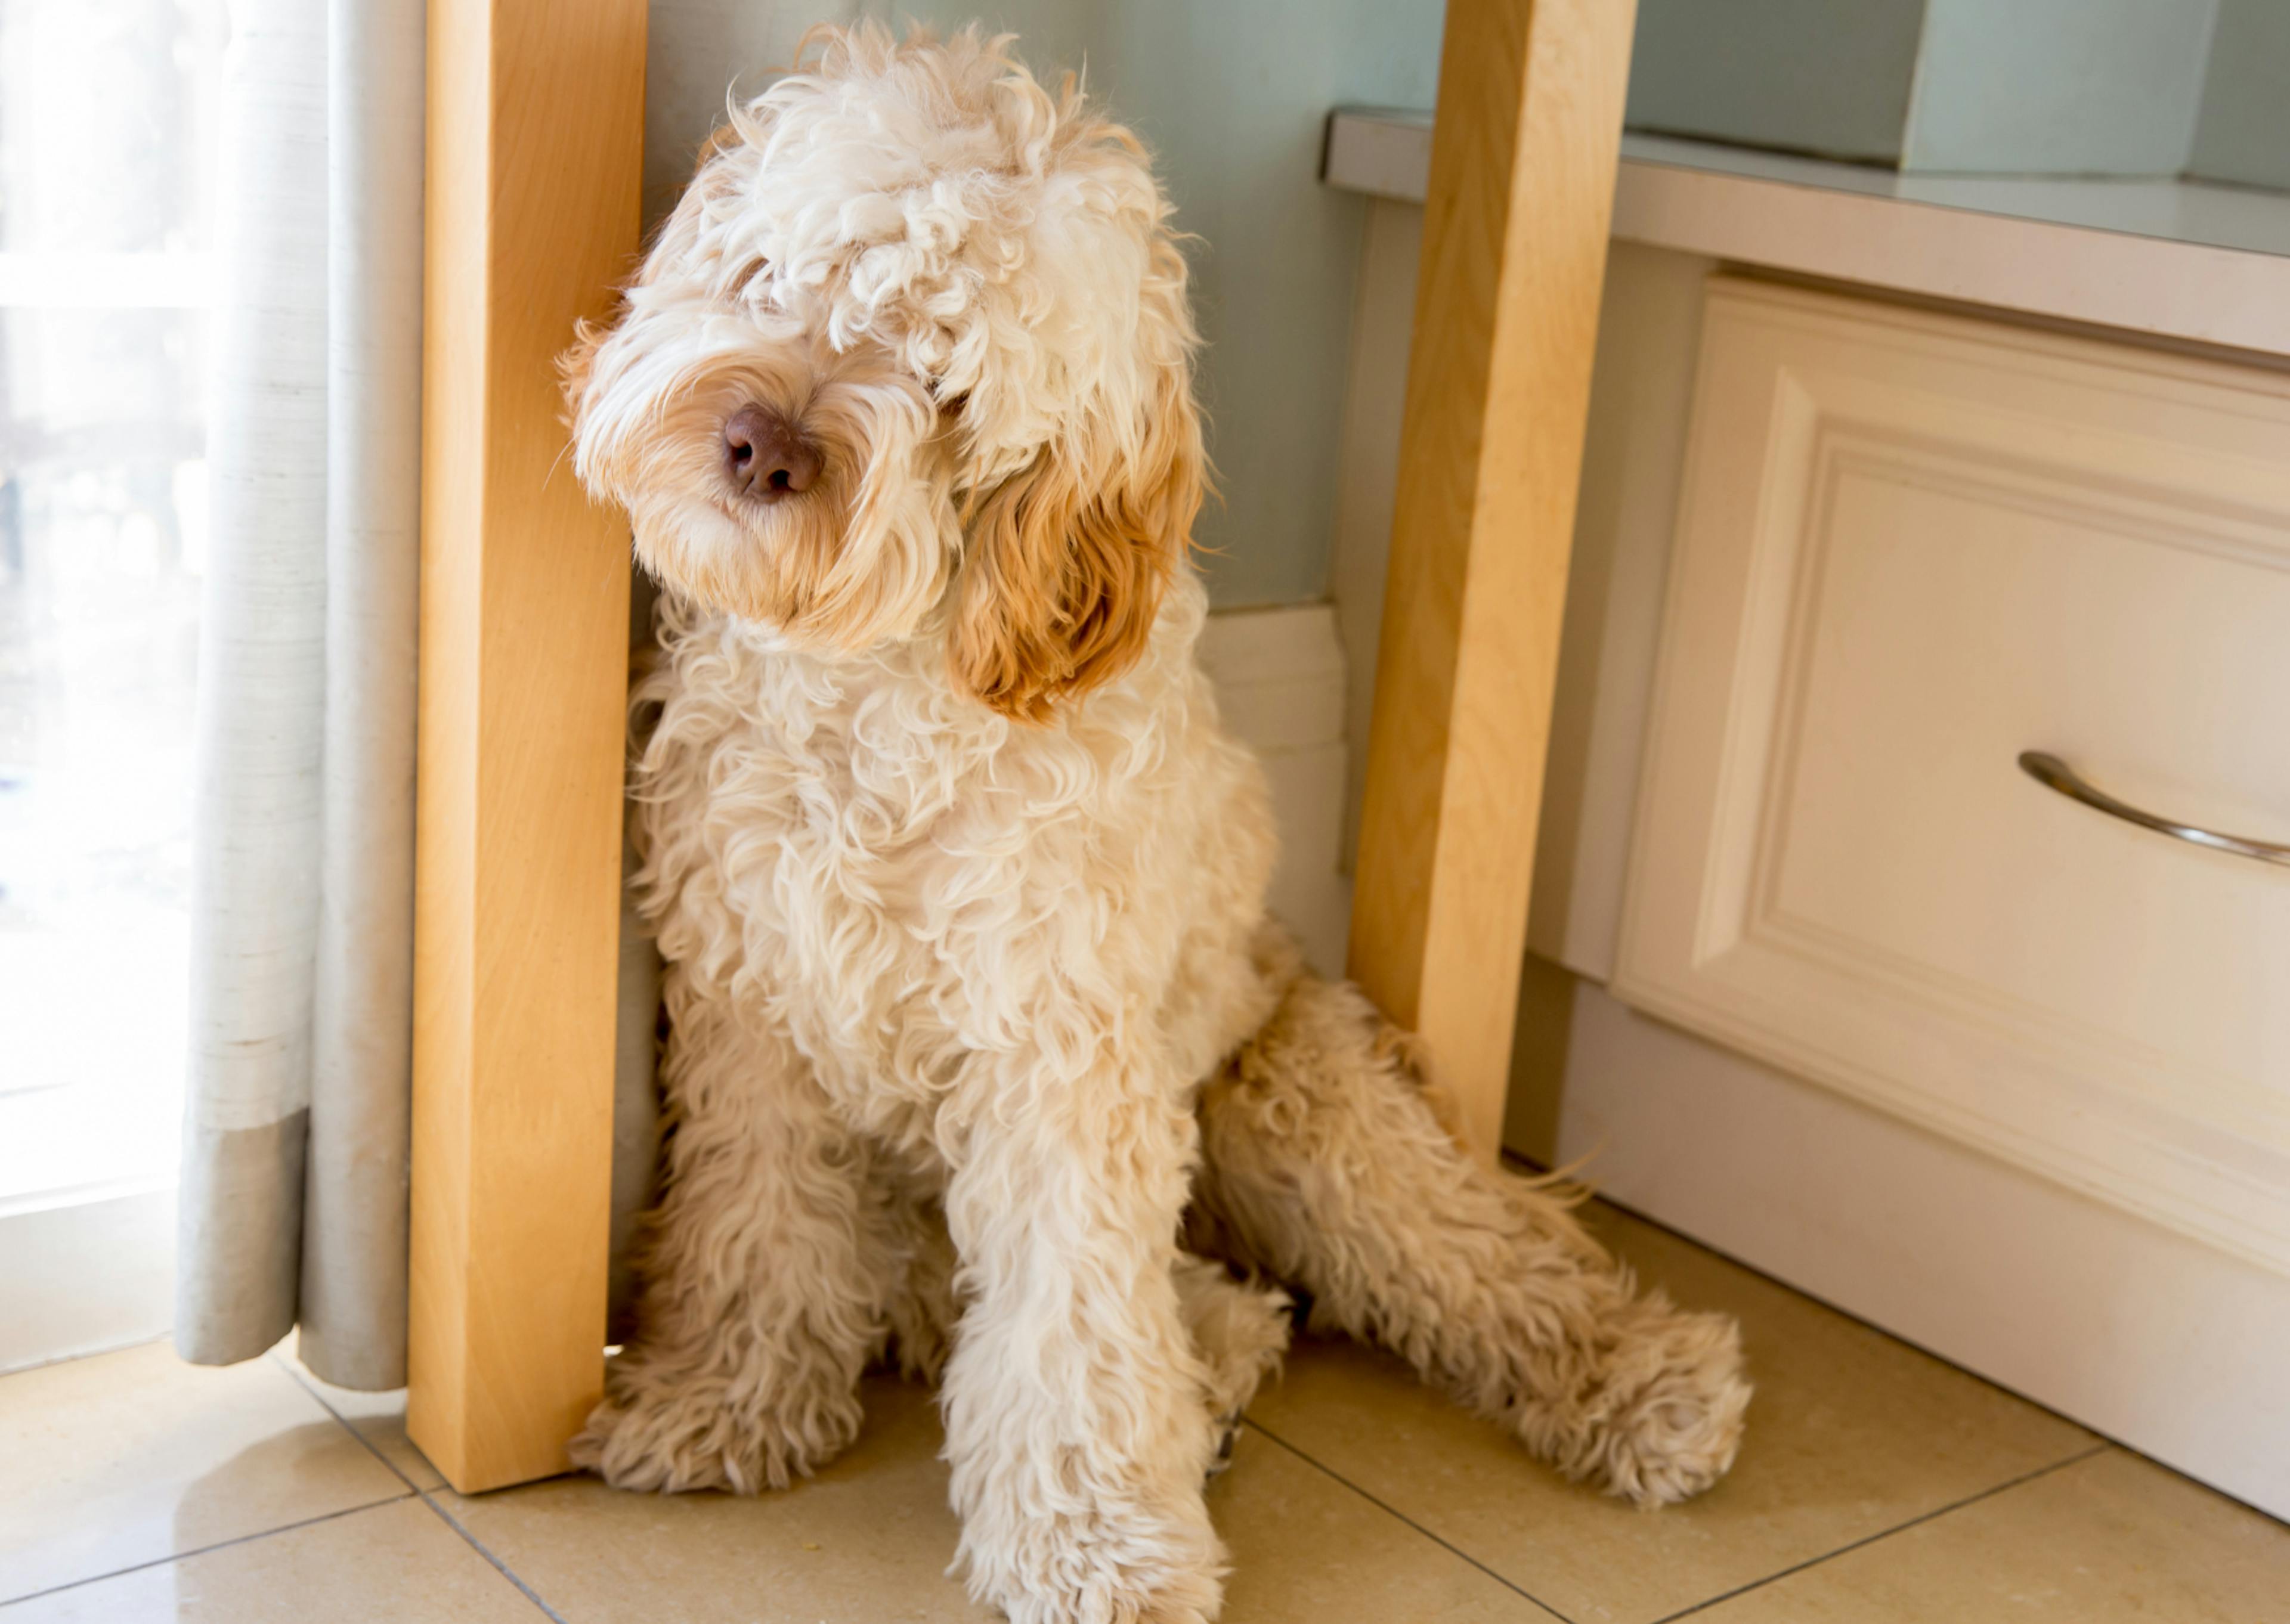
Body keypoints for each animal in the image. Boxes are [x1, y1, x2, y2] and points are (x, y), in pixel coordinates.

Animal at [563, 28, 1740, 1622]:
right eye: (777, 279)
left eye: (942, 383)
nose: (758, 445)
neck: (871, 703)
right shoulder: (754, 1014)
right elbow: (756, 1228)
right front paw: (721, 1404)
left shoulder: (1058, 1059)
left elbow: (1072, 1321)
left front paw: (1095, 1547)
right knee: (1118, 1296)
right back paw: (1216, 1371)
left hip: (1300, 1101)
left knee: (1483, 1258)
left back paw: (1646, 1382)